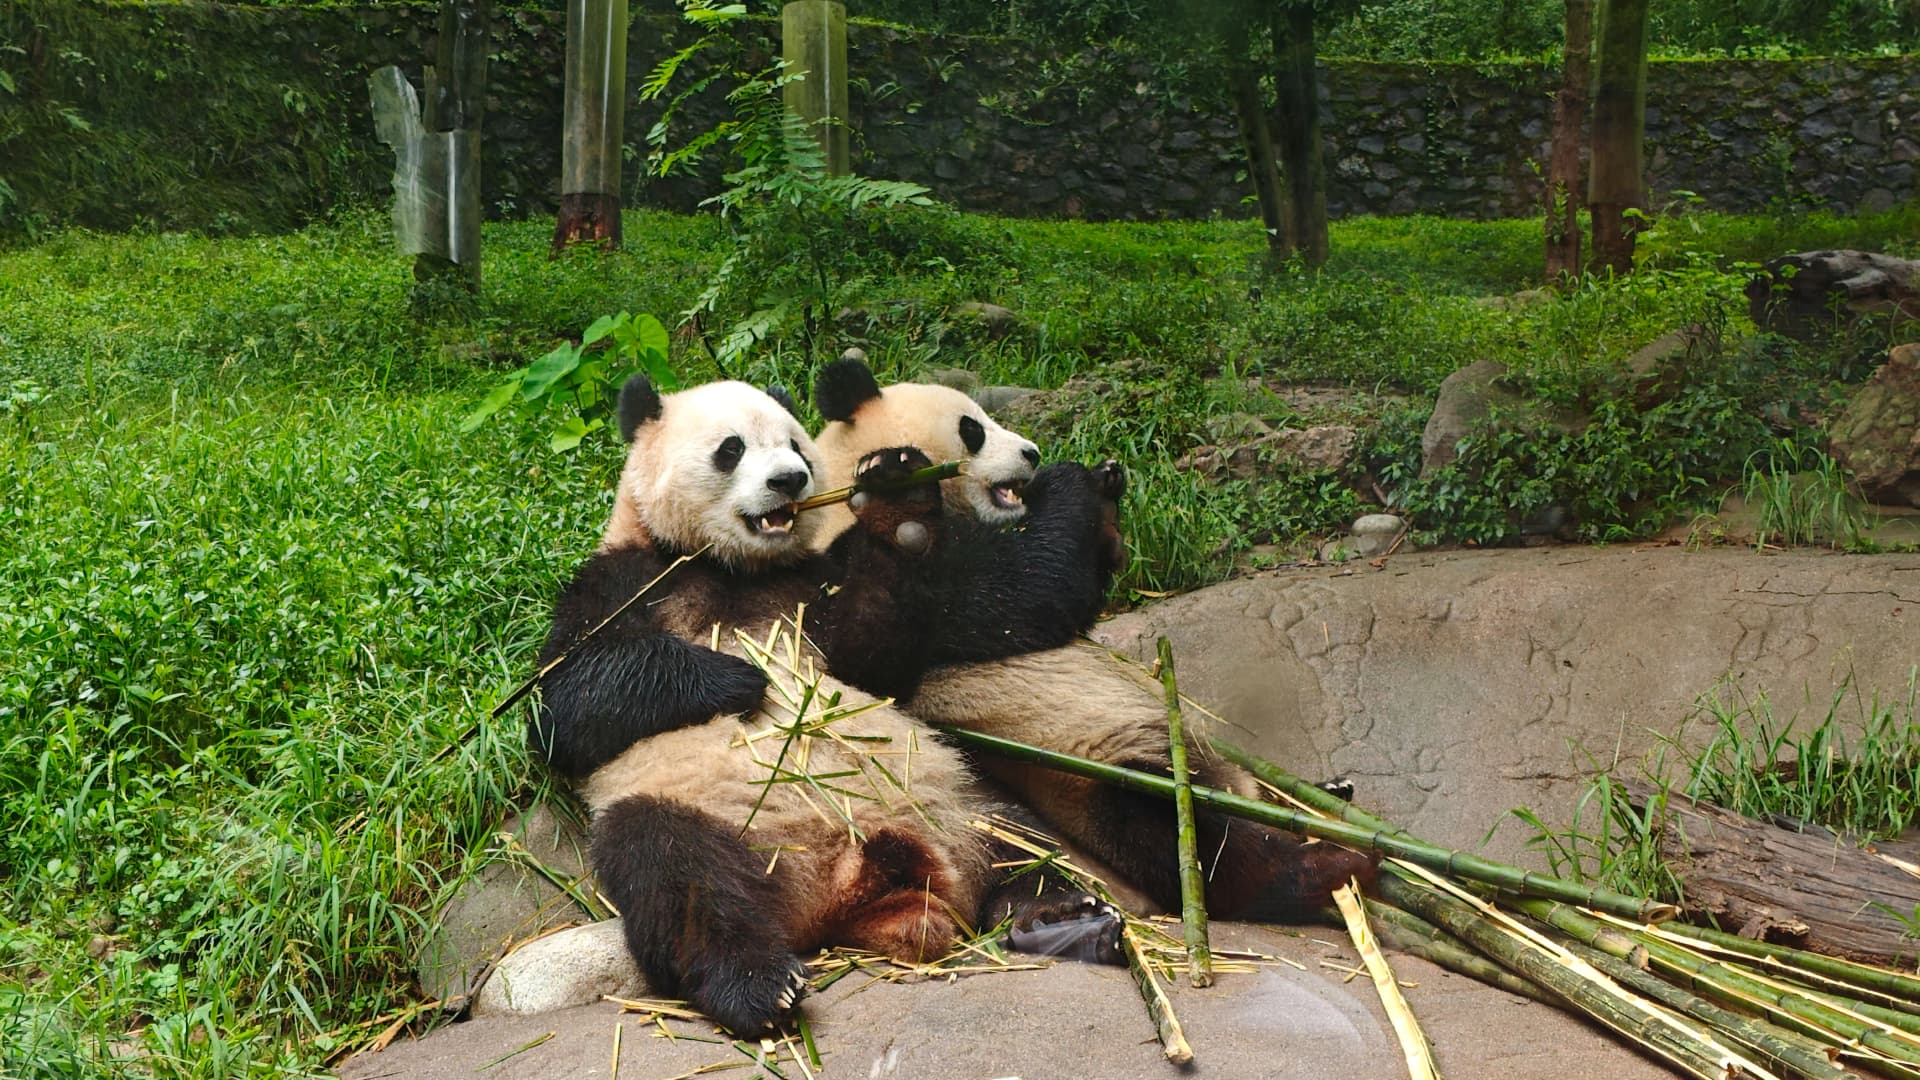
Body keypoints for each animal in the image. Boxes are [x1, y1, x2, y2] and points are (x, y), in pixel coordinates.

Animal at [531, 377, 1127, 1036]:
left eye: (796, 445)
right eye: (732, 449)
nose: (789, 480)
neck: (732, 567)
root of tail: (849, 887)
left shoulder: (814, 583)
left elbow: (871, 658)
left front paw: (899, 506)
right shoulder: (623, 579)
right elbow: (567, 704)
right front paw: (741, 678)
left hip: (952, 796)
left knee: (1013, 837)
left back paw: (1056, 909)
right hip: (709, 818)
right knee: (674, 873)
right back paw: (759, 985)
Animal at [812, 356, 1377, 923]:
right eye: (973, 429)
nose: (1033, 453)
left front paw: (1106, 494)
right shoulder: (874, 569)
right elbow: (1015, 590)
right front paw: (1069, 481)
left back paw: (1328, 795)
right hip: (1096, 772)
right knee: (1190, 840)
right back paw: (1327, 863)